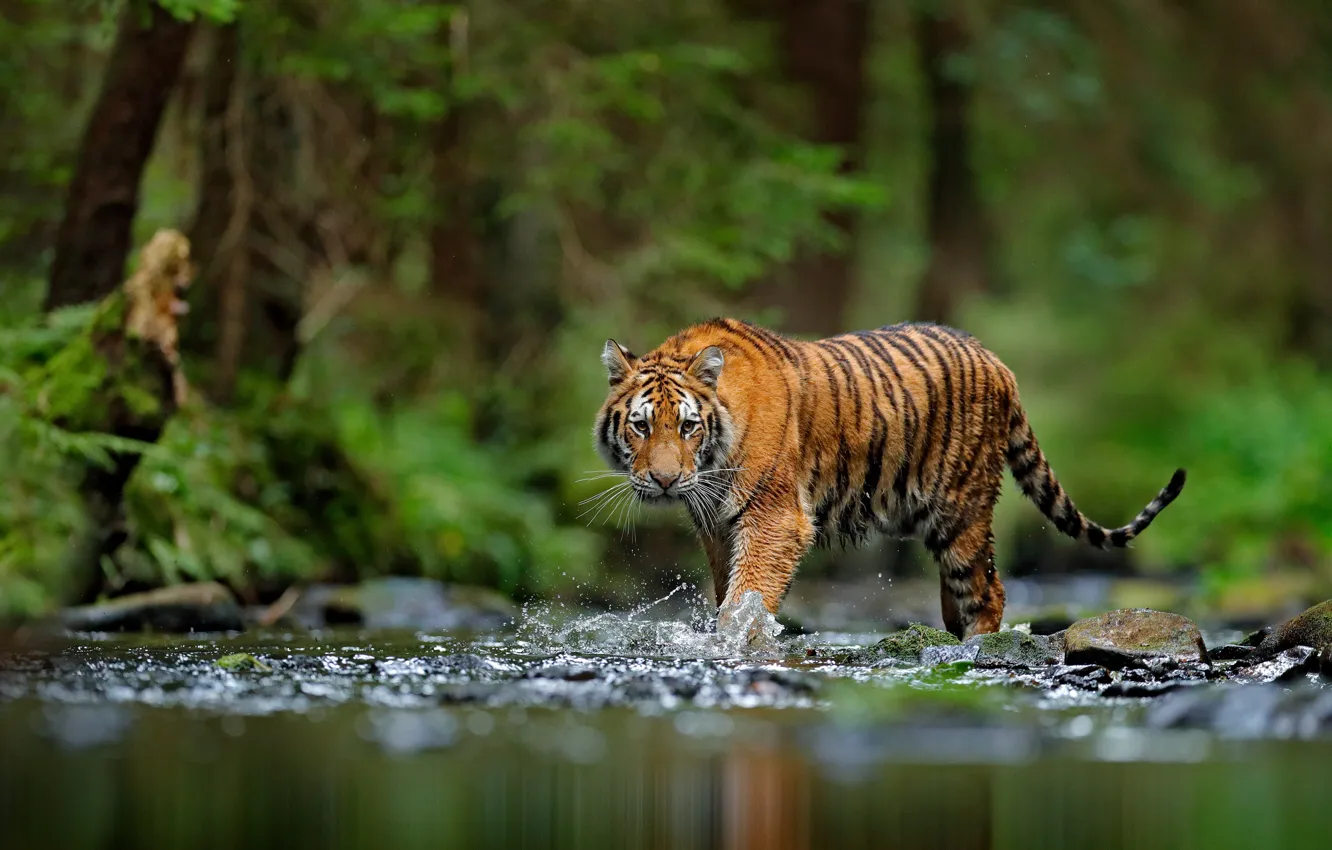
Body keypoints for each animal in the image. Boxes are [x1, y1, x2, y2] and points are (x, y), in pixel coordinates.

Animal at [594, 319, 1188, 639]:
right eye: (642, 426)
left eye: (688, 426)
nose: (665, 481)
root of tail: (998, 361)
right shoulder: (717, 527)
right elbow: (728, 594)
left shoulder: (774, 519)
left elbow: (748, 597)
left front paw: (736, 642)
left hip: (962, 510)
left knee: (988, 591)